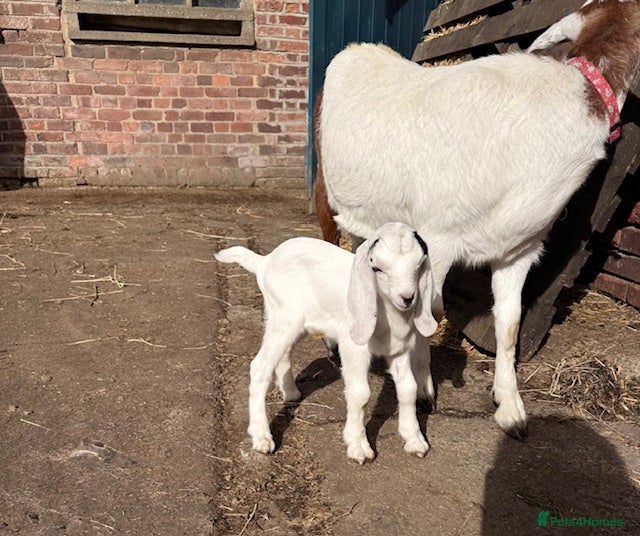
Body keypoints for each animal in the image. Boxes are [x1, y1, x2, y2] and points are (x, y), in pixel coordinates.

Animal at [214, 222, 438, 463]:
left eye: (419, 266)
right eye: (377, 267)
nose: (407, 298)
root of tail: (264, 262)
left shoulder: (399, 349)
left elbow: (408, 389)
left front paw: (414, 439)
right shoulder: (353, 347)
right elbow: (360, 394)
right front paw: (358, 446)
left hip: (296, 323)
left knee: (284, 354)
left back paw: (291, 393)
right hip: (284, 316)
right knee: (260, 367)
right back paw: (262, 436)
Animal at [314, 0, 640, 439]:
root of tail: (357, 48)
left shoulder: (519, 249)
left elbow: (510, 323)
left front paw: (511, 407)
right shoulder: (437, 237)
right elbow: (430, 314)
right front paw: (424, 390)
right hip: (325, 188)